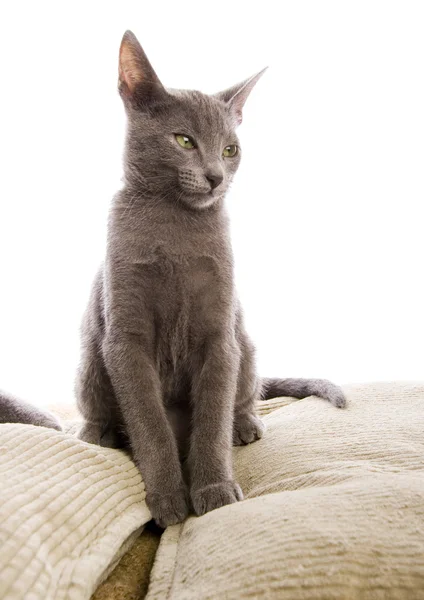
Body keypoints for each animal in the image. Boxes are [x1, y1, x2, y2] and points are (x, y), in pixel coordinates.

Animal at [0, 31, 344, 528]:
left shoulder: (220, 333)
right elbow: (149, 423)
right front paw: (169, 499)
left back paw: (245, 425)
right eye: (184, 140)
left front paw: (214, 489)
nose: (216, 176)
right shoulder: (125, 338)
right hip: (89, 361)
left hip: (246, 343)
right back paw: (95, 434)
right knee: (100, 409)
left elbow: (212, 418)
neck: (175, 228)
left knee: (246, 394)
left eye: (230, 149)